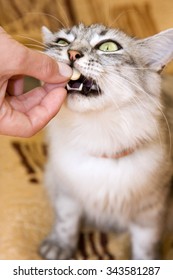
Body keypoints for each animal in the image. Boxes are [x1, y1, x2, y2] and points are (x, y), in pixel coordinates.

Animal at [39, 24, 173, 260]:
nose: (72, 53)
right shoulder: (67, 193)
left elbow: (145, 246)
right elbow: (66, 224)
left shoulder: (150, 211)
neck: (98, 132)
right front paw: (59, 246)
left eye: (108, 47)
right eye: (62, 42)